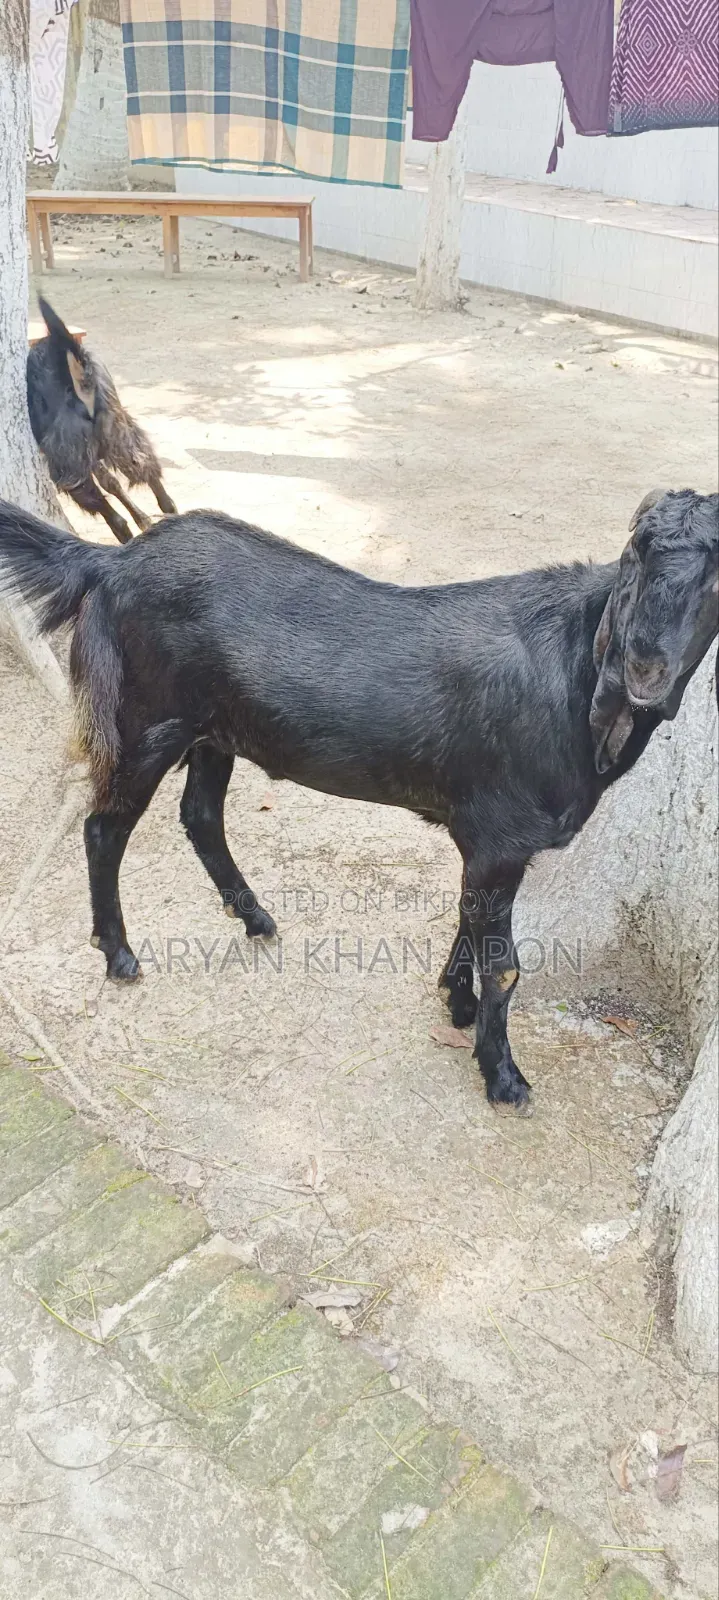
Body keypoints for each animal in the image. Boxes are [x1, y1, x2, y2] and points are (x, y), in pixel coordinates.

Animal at [0, 489, 716, 1108]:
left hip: (214, 731)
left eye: (712, 580)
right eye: (635, 561)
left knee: (199, 815)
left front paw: (455, 1002)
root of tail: (112, 560)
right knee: (105, 828)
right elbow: (504, 965)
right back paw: (120, 955)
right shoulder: (500, 835)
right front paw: (504, 1078)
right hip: (148, 722)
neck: (572, 678)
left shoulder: (485, 845)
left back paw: (255, 918)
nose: (644, 667)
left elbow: (467, 919)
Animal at [26, 298, 177, 545]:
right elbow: (111, 483)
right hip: (115, 431)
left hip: (70, 460)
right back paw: (165, 513)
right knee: (142, 465)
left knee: (109, 504)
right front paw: (143, 520)